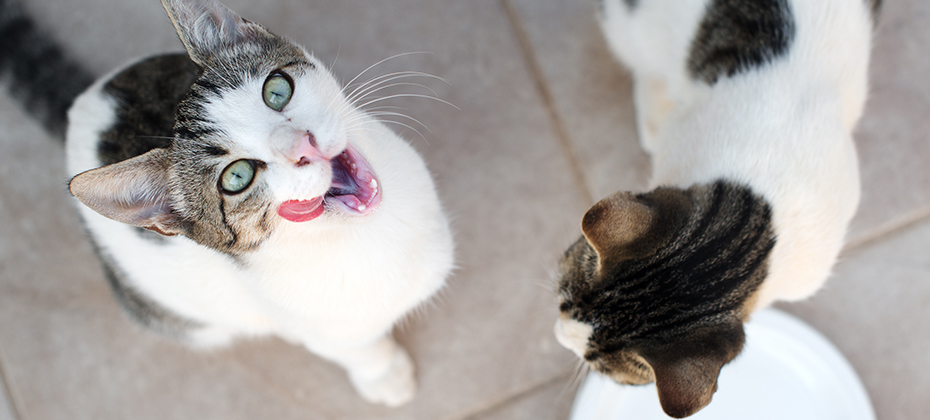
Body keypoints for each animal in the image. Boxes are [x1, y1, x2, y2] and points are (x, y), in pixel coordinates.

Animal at [0, 0, 452, 408]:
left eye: (277, 90)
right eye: (237, 177)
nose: (302, 145)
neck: (373, 233)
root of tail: (80, 107)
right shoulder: (315, 325)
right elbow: (359, 349)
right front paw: (385, 375)